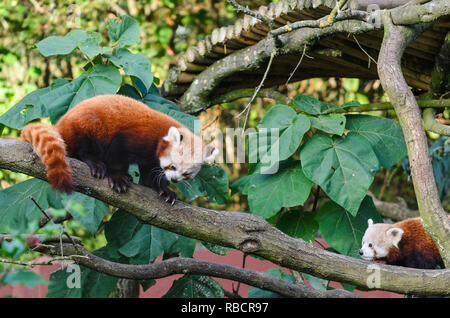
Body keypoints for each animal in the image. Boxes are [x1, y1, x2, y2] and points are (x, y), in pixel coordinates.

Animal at [21, 94, 218, 204]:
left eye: (187, 174)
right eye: (173, 166)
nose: (175, 180)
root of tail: (61, 124)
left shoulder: (151, 158)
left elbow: (150, 173)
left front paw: (163, 189)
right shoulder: (136, 137)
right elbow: (117, 154)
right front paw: (118, 178)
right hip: (87, 125)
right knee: (84, 147)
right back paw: (96, 163)